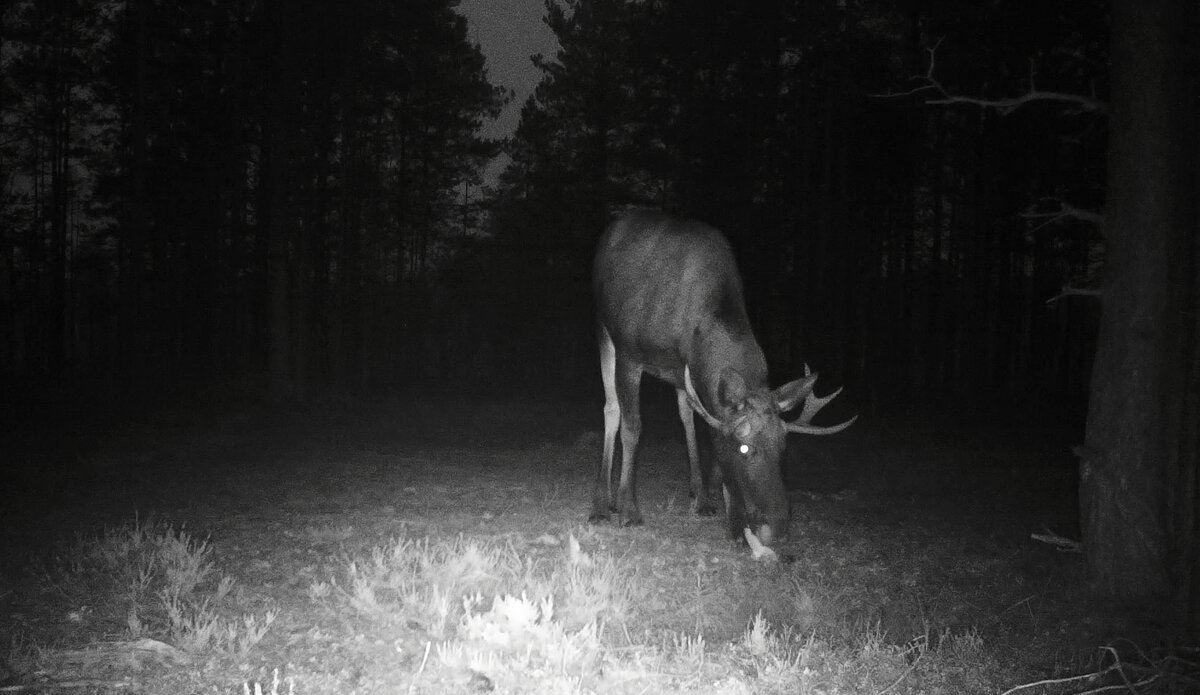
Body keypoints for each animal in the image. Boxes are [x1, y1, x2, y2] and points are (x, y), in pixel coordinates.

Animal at [588, 208, 854, 547]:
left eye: (784, 447)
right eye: (744, 448)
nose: (778, 525)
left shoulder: (692, 374)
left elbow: (707, 432)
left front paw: (725, 513)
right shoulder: (630, 354)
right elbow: (633, 427)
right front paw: (629, 511)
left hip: (678, 375)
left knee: (686, 417)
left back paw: (699, 496)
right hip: (603, 329)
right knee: (611, 409)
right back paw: (602, 504)